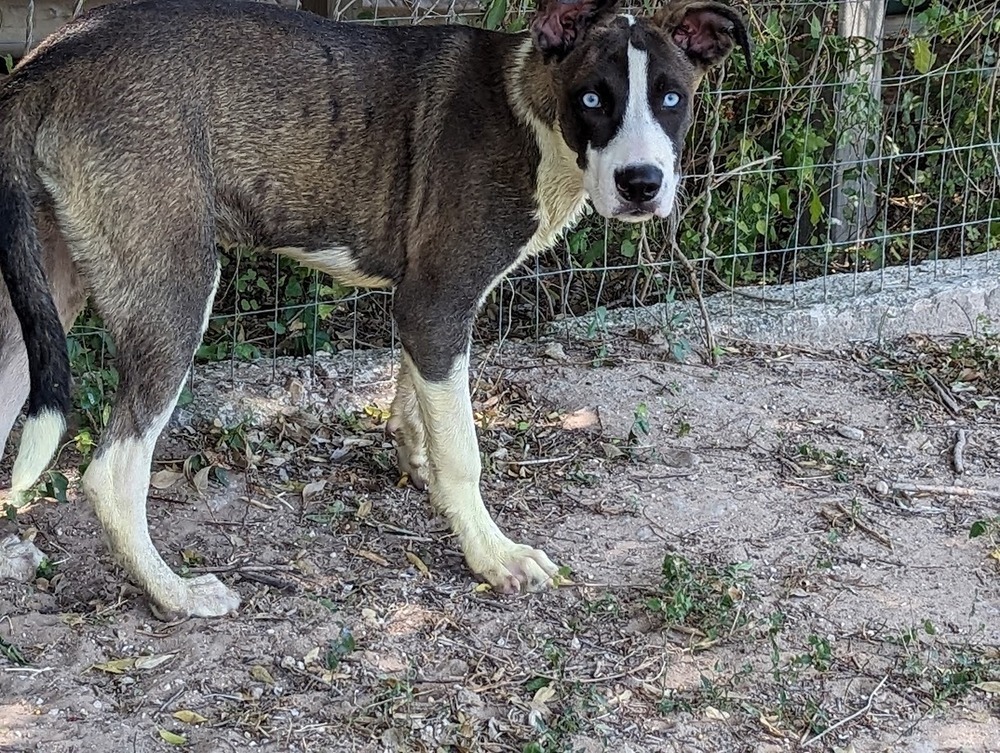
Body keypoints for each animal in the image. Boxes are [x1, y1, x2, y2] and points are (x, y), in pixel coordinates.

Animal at [0, 0, 752, 616]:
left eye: (672, 98)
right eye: (593, 97)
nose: (641, 183)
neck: (529, 112)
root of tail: (54, 55)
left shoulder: (421, 310)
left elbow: (416, 402)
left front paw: (416, 464)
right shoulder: (438, 301)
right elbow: (463, 451)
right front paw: (491, 553)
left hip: (46, 290)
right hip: (173, 292)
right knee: (111, 474)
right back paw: (174, 594)